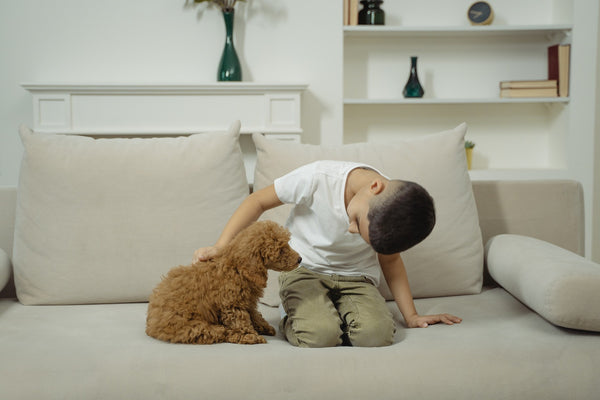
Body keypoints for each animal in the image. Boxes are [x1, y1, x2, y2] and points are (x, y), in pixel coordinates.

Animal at [145, 220, 300, 346]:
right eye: (281, 250)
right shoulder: (232, 304)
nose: (300, 259)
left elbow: (254, 314)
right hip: (192, 328)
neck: (236, 268)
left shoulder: (248, 301)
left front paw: (263, 326)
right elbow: (240, 320)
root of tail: (150, 326)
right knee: (219, 332)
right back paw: (236, 335)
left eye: (287, 244)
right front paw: (250, 335)